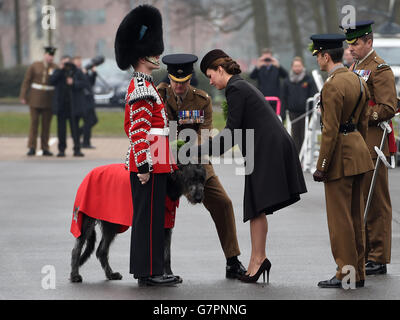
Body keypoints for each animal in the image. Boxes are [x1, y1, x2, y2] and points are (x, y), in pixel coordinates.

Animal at [70, 162, 205, 282]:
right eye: (191, 179)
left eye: (202, 179)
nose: (199, 198)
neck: (169, 182)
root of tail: (89, 174)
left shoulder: (167, 226)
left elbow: (167, 255)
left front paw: (169, 275)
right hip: (87, 219)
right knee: (77, 248)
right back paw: (75, 275)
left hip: (111, 224)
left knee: (101, 250)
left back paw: (110, 274)